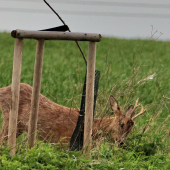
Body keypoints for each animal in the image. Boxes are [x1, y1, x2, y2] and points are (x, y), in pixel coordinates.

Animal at [0, 83, 144, 145]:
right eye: (121, 124)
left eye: (131, 129)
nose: (121, 142)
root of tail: (3, 89)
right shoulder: (63, 141)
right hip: (9, 118)